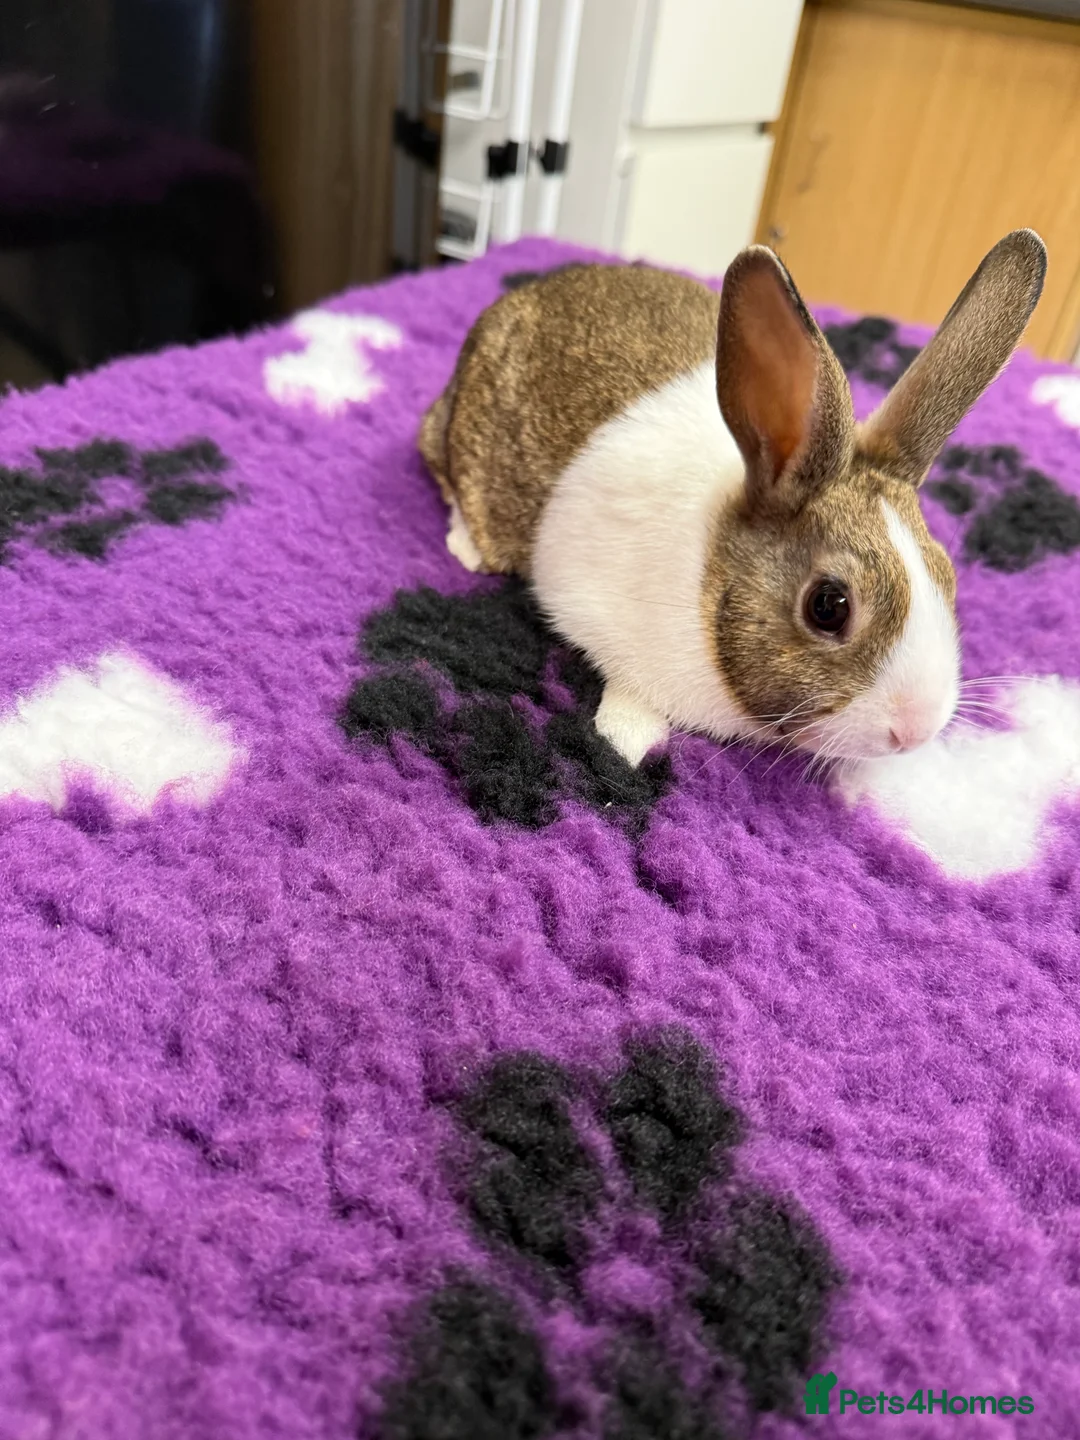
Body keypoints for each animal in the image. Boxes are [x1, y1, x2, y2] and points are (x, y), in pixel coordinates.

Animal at [418, 231, 1046, 767]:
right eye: (828, 606)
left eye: (947, 577)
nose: (916, 730)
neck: (710, 582)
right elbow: (630, 690)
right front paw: (625, 740)